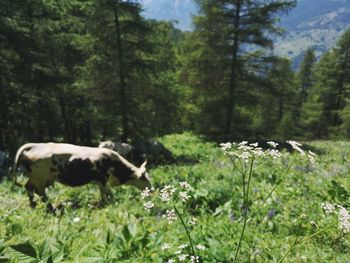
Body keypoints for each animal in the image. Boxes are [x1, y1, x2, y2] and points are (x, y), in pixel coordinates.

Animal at [13, 143, 150, 209]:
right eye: (144, 178)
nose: (151, 189)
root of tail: (35, 145)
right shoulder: (103, 179)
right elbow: (109, 193)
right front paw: (114, 203)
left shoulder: (100, 181)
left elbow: (103, 194)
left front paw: (104, 204)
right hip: (40, 178)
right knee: (40, 192)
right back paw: (50, 208)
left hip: (38, 178)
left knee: (29, 188)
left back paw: (33, 205)